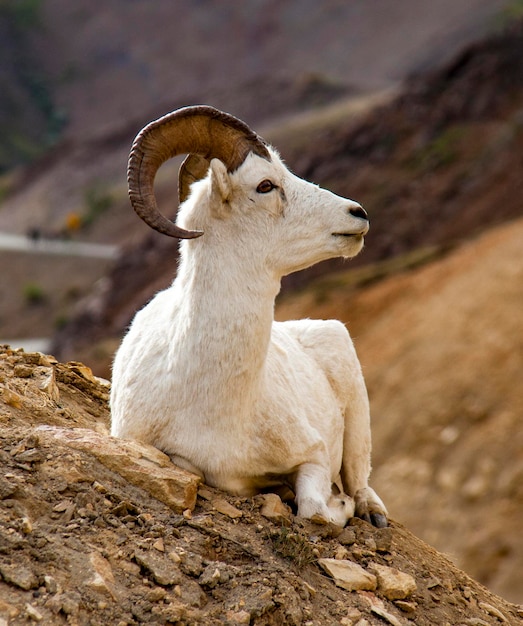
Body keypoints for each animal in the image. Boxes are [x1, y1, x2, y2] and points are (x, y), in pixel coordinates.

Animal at [111, 105, 388, 524]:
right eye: (265, 186)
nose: (357, 213)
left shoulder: (315, 455)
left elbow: (314, 510)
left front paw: (336, 503)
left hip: (357, 414)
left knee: (360, 478)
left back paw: (371, 511)